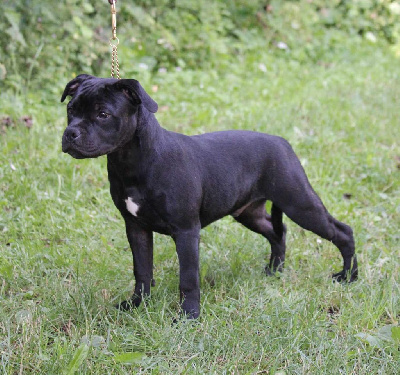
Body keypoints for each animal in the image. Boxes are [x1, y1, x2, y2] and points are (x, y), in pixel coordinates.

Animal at [61, 75, 358, 320]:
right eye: (70, 110)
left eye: (103, 114)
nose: (70, 133)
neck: (133, 161)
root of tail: (282, 142)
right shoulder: (136, 228)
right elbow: (142, 270)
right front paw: (136, 305)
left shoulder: (186, 231)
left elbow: (188, 278)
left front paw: (189, 317)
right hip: (248, 212)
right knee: (278, 232)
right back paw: (275, 271)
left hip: (299, 203)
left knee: (342, 231)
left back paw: (348, 276)